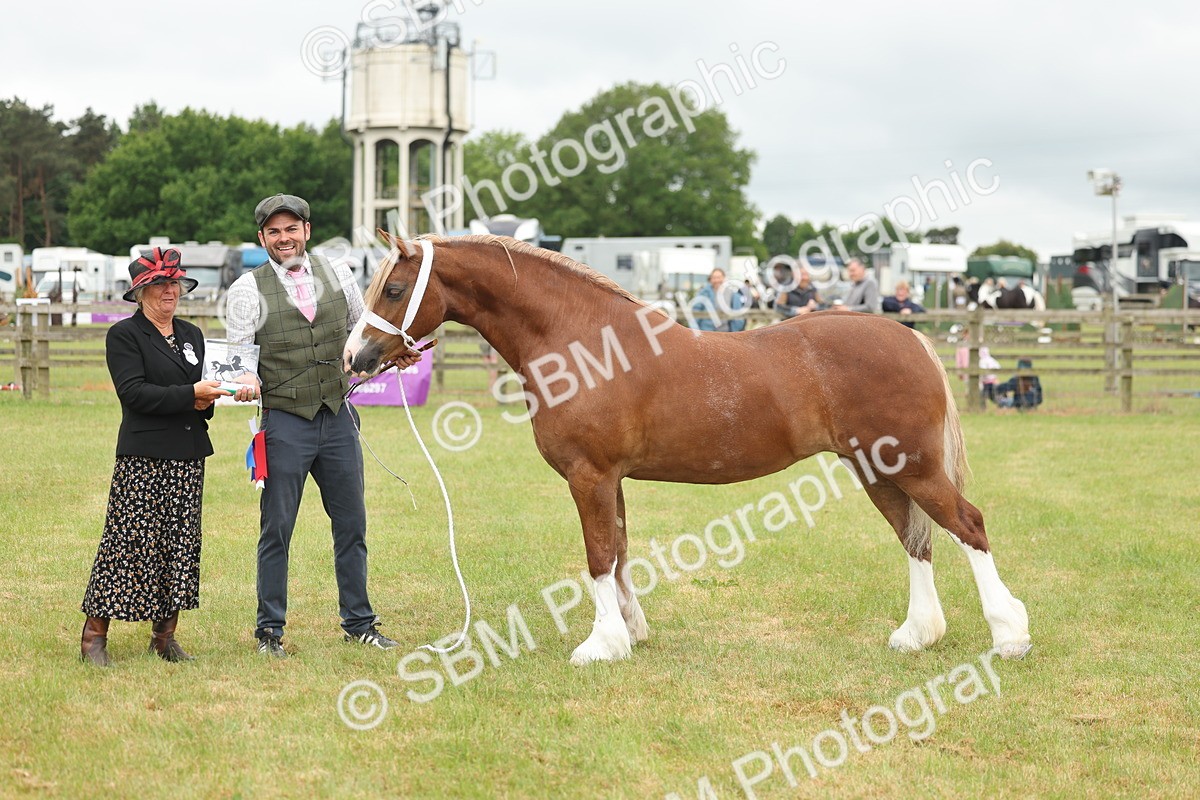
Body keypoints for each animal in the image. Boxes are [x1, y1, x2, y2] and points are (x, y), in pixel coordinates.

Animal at [345, 234, 1031, 666]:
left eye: (393, 288)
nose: (356, 358)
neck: (580, 341)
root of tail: (910, 339)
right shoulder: (610, 479)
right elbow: (619, 551)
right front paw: (631, 633)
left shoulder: (589, 476)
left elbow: (598, 556)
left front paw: (600, 645)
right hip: (878, 470)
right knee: (917, 539)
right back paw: (918, 635)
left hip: (912, 466)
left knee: (967, 525)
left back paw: (1008, 636)